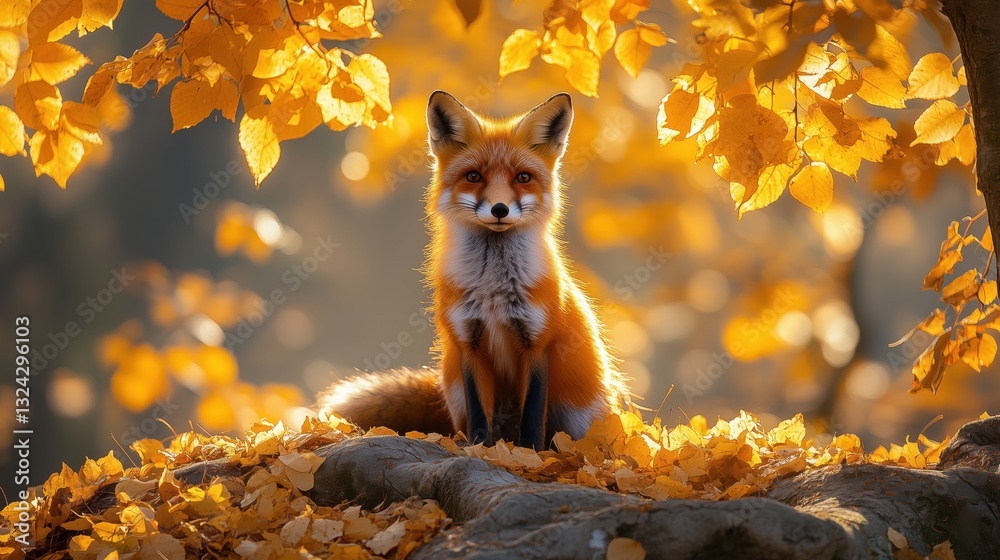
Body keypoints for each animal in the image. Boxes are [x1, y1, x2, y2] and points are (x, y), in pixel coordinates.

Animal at [318, 91, 627, 449]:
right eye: (474, 176)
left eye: (523, 178)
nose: (499, 209)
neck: (494, 290)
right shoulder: (469, 342)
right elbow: (480, 415)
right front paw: (482, 450)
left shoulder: (537, 344)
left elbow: (532, 417)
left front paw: (528, 454)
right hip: (454, 390)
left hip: (580, 416)